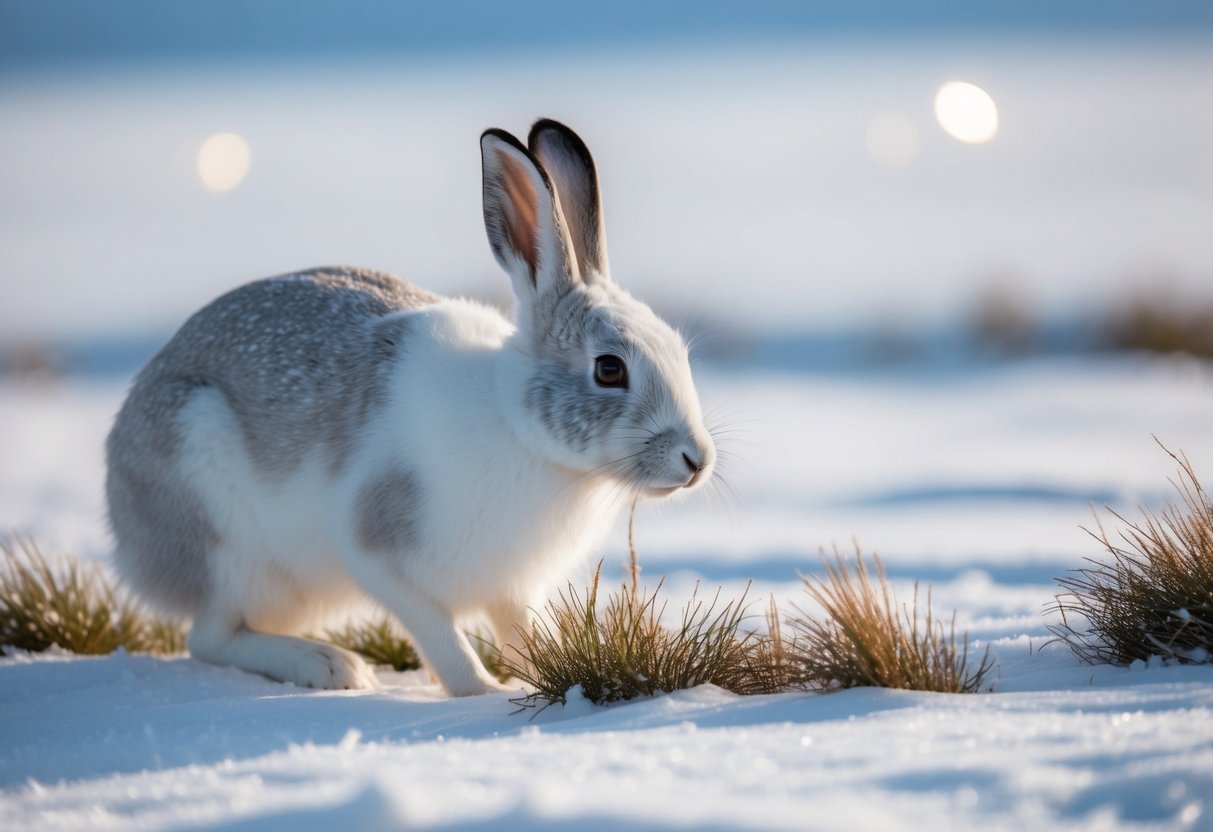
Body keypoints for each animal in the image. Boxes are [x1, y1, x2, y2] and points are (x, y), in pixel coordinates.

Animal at [105, 119, 716, 696]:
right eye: (609, 369)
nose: (697, 461)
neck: (519, 430)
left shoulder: (510, 587)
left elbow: (520, 633)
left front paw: (545, 675)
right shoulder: (380, 553)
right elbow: (441, 636)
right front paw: (483, 692)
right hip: (224, 528)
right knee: (211, 636)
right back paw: (329, 666)